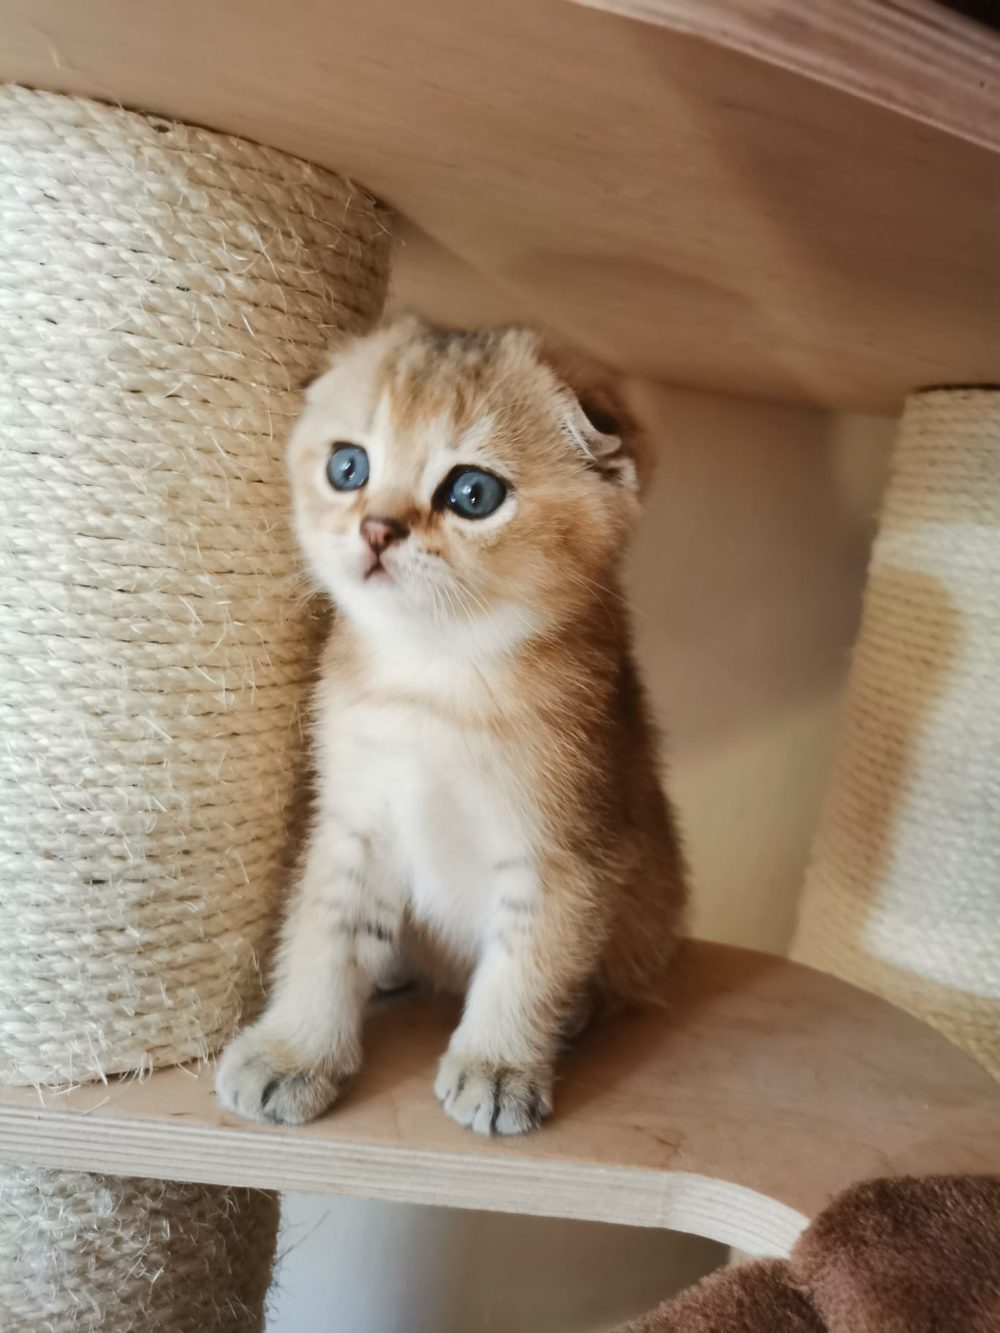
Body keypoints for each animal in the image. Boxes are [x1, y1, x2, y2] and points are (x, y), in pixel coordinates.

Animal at [217, 314, 688, 1135]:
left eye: (473, 492)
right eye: (348, 467)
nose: (377, 529)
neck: (432, 683)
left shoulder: (567, 850)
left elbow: (526, 961)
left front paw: (499, 1065)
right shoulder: (353, 820)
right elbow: (323, 936)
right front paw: (294, 1048)